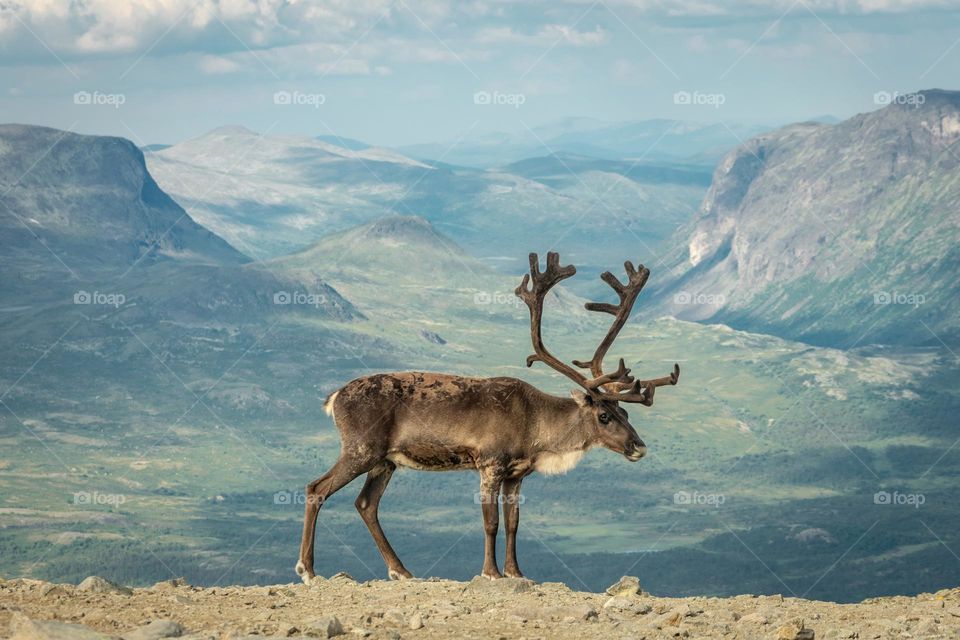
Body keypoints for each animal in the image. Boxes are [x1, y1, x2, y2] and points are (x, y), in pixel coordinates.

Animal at [296, 252, 680, 583]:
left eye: (624, 410)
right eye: (603, 415)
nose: (639, 446)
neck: (535, 426)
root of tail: (334, 397)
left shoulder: (517, 475)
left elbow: (513, 523)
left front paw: (516, 572)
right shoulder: (490, 464)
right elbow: (491, 522)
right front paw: (491, 572)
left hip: (385, 461)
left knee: (366, 504)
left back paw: (401, 570)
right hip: (361, 450)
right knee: (316, 488)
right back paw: (308, 570)